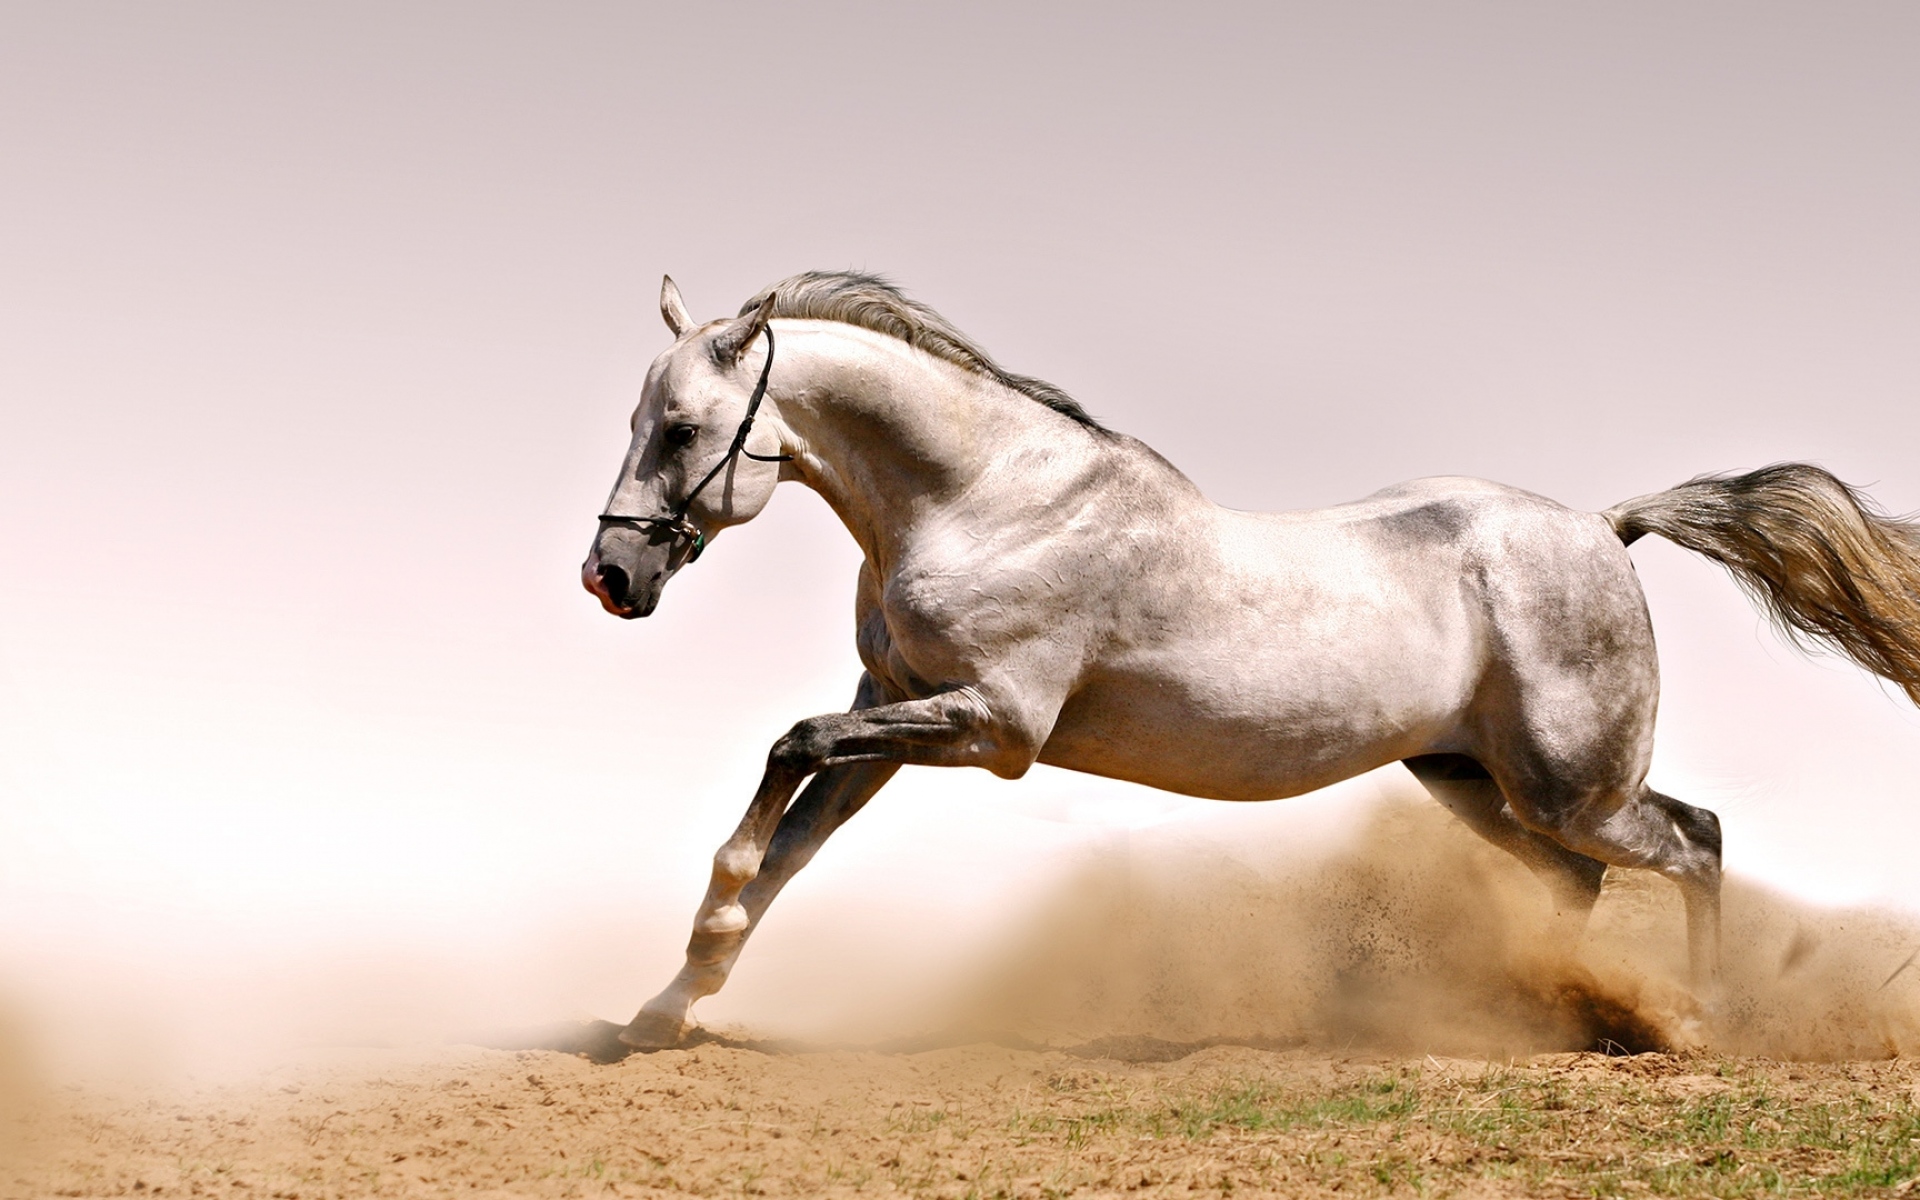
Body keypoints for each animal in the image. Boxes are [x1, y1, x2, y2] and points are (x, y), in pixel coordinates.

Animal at [583, 271, 1920, 1050]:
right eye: (638, 419)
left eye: (684, 430)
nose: (611, 578)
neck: (982, 499)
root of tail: (1604, 527)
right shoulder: (902, 709)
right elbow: (795, 839)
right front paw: (666, 1007)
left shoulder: (994, 727)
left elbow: (787, 753)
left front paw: (693, 951)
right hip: (1470, 780)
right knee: (1581, 883)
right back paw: (1556, 1018)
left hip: (1572, 785)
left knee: (1694, 841)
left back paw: (1700, 1025)